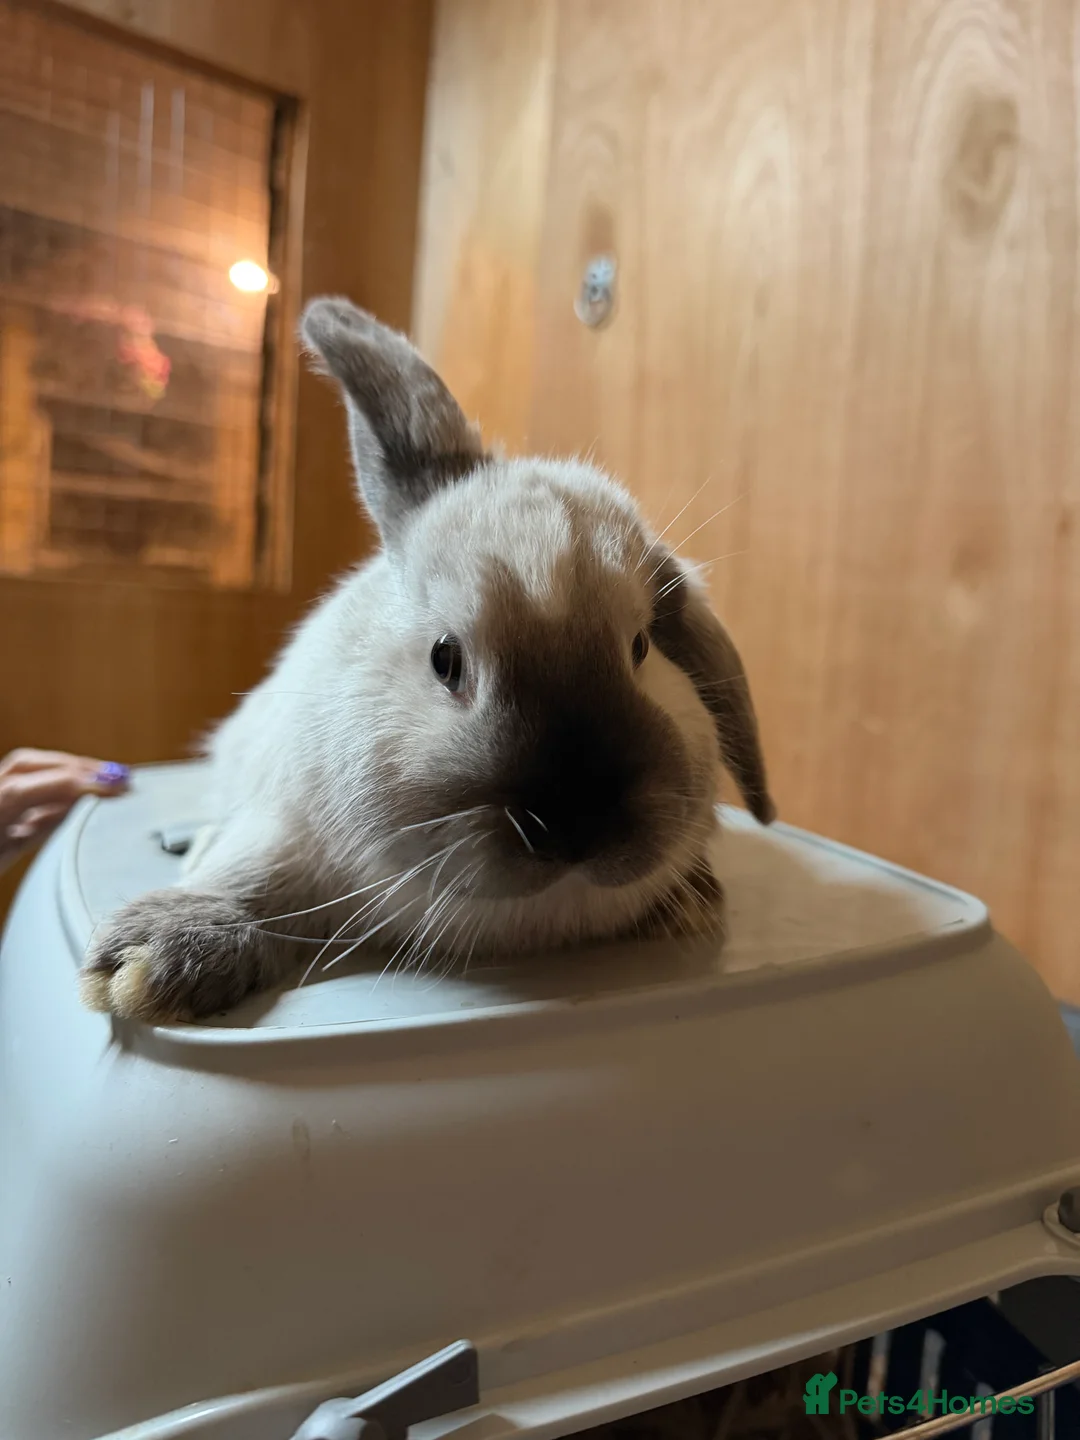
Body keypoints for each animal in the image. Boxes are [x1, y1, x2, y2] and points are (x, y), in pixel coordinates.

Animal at [79, 297, 775, 1025]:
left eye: (640, 647)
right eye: (446, 659)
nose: (575, 821)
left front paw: (691, 904)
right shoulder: (284, 824)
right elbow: (252, 877)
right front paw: (144, 967)